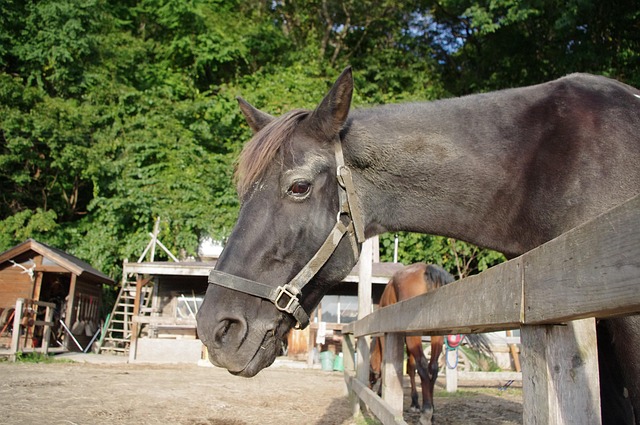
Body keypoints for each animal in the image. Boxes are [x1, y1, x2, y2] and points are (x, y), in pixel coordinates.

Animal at [369, 263, 453, 425]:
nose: (370, 385)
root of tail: (426, 269)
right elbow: (411, 367)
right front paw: (415, 403)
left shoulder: (389, 337)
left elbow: (390, 364)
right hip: (435, 334)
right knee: (433, 367)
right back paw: (431, 411)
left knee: (423, 365)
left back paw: (426, 413)